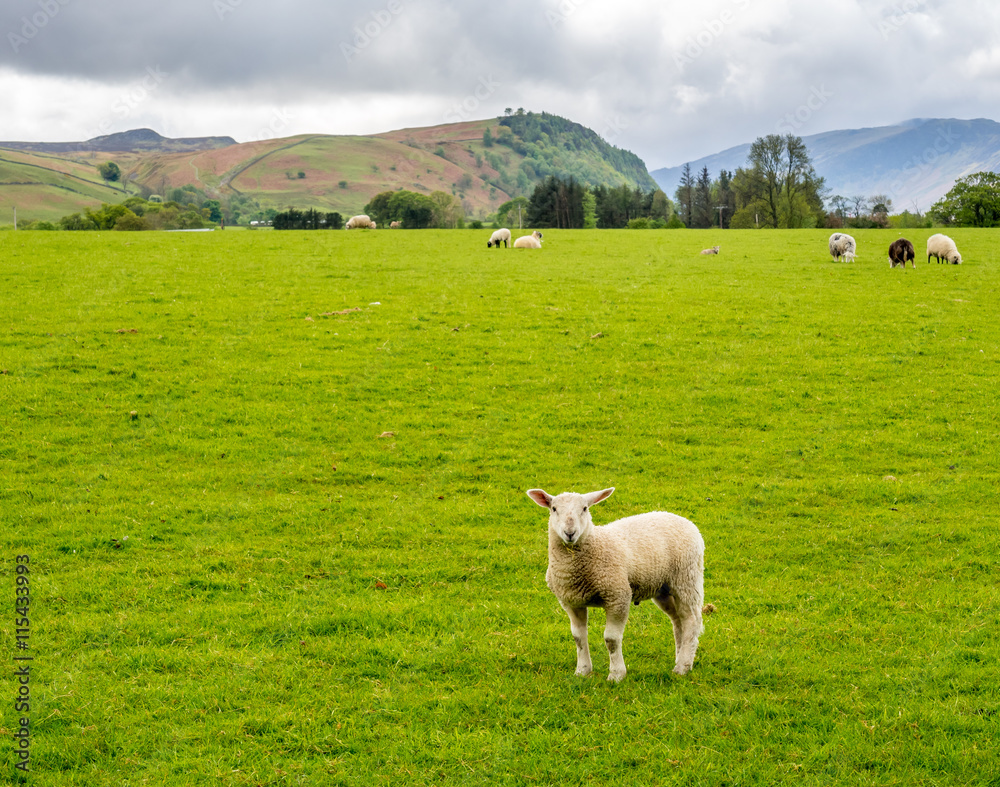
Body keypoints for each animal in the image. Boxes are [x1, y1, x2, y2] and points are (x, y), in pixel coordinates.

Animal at [526, 487, 705, 683]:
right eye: (554, 509)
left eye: (585, 508)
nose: (570, 532)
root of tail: (683, 520)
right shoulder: (572, 602)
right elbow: (578, 638)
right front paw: (582, 671)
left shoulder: (618, 596)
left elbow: (611, 639)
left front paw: (616, 674)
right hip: (663, 588)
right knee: (678, 620)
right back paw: (680, 658)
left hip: (687, 578)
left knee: (691, 620)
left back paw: (682, 666)